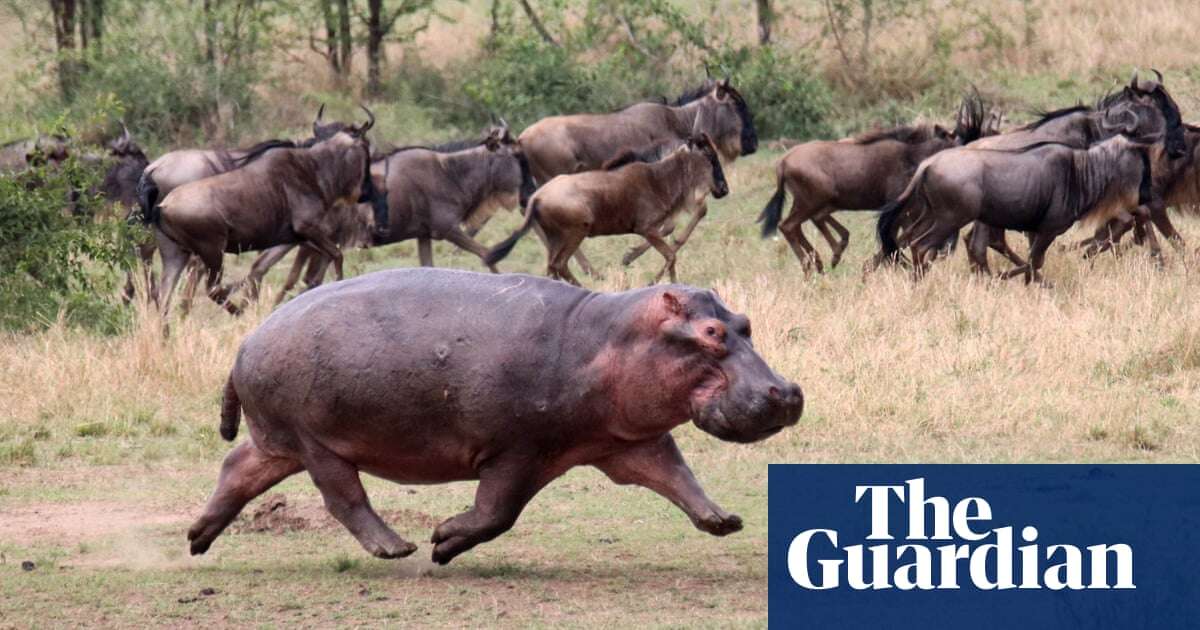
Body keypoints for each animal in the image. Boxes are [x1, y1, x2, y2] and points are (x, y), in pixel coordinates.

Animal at [187, 267, 801, 561]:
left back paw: (197, 537)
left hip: (279, 439)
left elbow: (676, 475)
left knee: (238, 469)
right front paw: (441, 540)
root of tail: (246, 341)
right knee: (344, 498)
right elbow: (497, 512)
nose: (787, 392)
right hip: (317, 441)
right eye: (712, 332)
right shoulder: (518, 449)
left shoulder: (628, 440)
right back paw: (396, 548)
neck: (610, 338)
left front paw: (723, 521)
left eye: (744, 323)